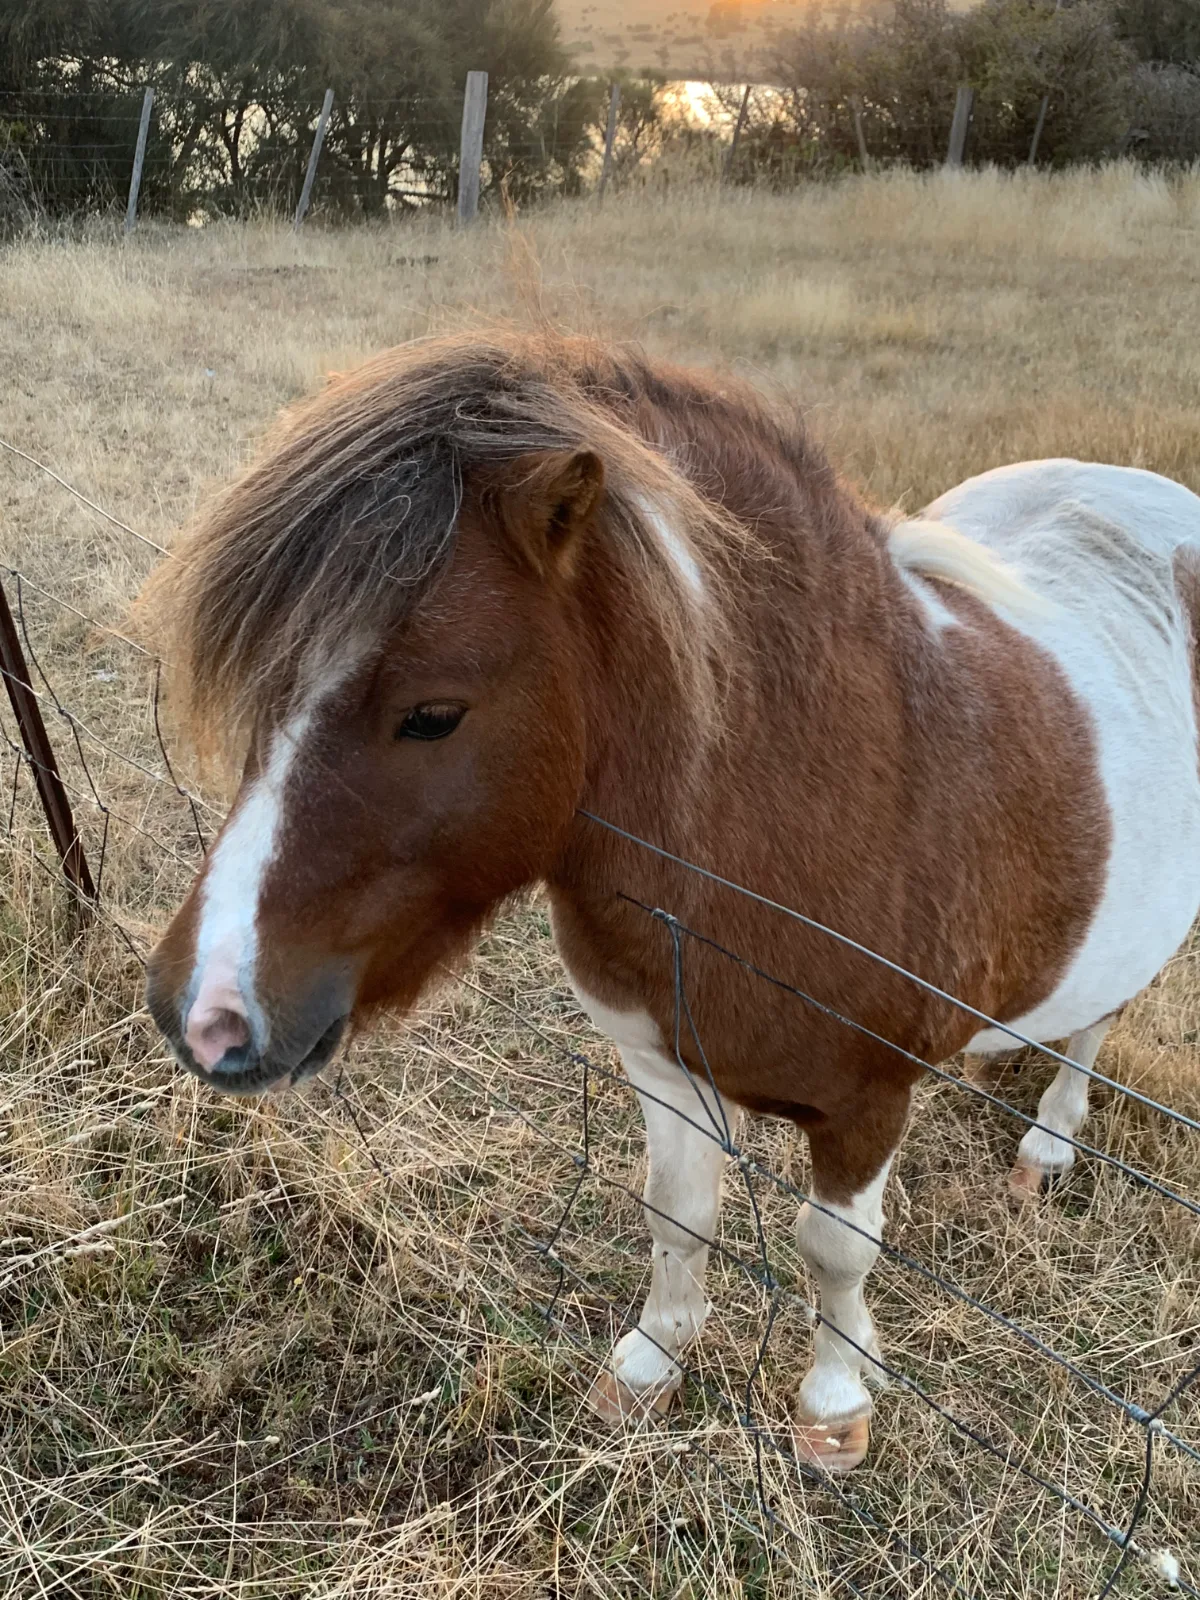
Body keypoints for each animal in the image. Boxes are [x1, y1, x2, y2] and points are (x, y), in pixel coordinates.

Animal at [143, 331, 1200, 1474]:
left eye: (432, 714)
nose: (202, 1011)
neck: (824, 787)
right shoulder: (661, 1062)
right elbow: (678, 1216)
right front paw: (652, 1364)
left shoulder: (868, 1103)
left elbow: (835, 1250)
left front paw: (834, 1405)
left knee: (1098, 1022)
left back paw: (1049, 1144)